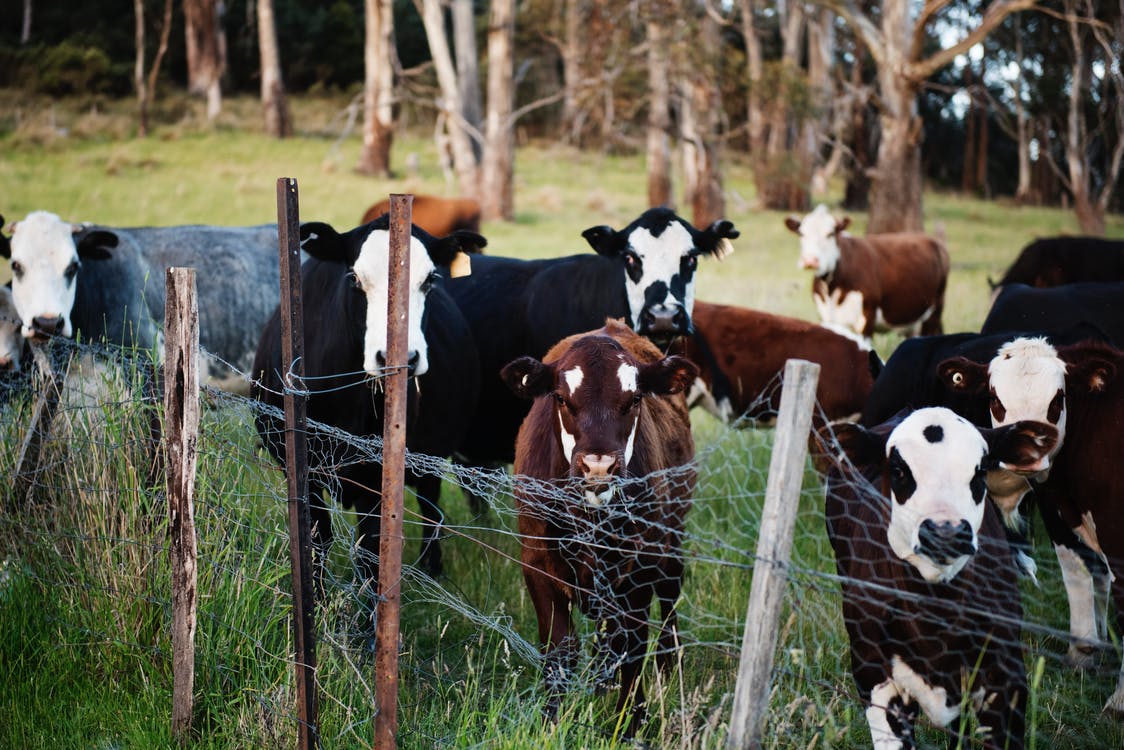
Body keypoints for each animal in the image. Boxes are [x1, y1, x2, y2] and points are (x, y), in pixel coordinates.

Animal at [252, 216, 485, 599]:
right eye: (354, 279)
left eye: (430, 280)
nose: (398, 359)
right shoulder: (298, 467)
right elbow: (317, 538)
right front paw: (318, 597)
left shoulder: (377, 478)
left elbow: (370, 551)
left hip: (433, 457)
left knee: (431, 507)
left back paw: (431, 569)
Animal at [501, 319, 698, 735]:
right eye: (561, 398)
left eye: (634, 399)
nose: (598, 467)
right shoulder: (536, 561)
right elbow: (559, 648)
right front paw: (551, 719)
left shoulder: (641, 563)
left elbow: (633, 646)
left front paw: (630, 721)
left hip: (672, 539)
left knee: (668, 601)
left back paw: (668, 666)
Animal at [784, 204, 949, 341]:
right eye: (801, 234)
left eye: (830, 234)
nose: (810, 260)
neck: (832, 289)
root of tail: (932, 240)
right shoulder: (827, 318)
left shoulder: (867, 318)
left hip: (934, 313)